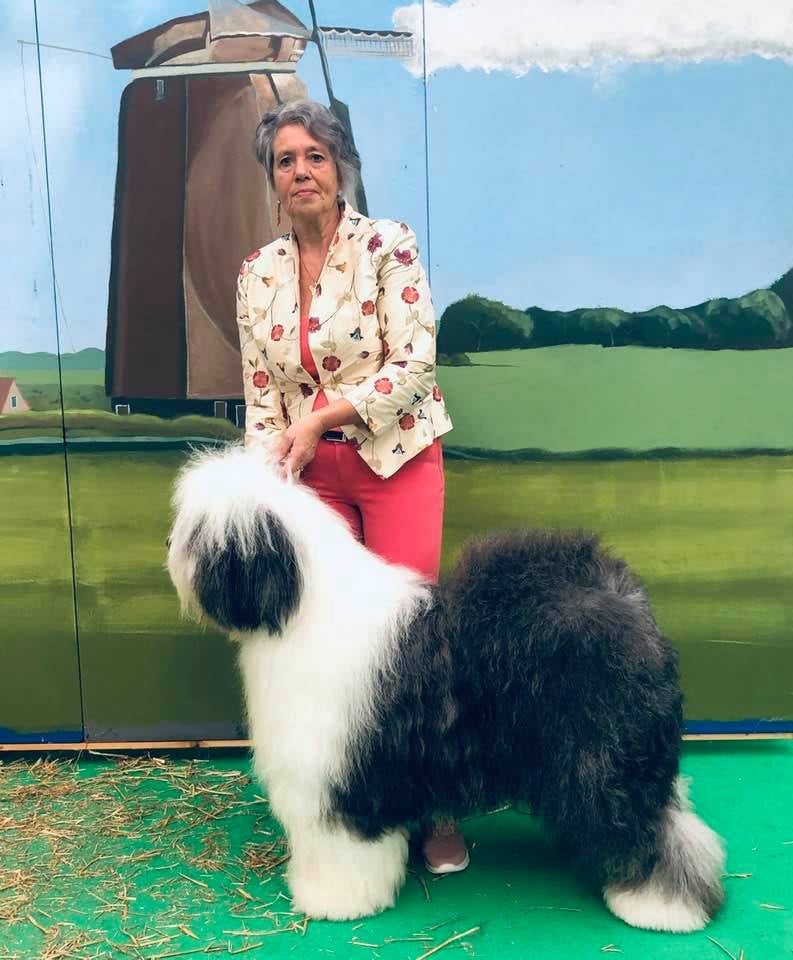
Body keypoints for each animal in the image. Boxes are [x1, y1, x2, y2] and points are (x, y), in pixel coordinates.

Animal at [167, 444, 724, 930]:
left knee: (647, 827)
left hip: (603, 756)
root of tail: (624, 598)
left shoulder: (339, 778)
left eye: (199, 533)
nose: (169, 548)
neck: (300, 606)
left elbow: (341, 849)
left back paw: (660, 907)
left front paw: (333, 901)